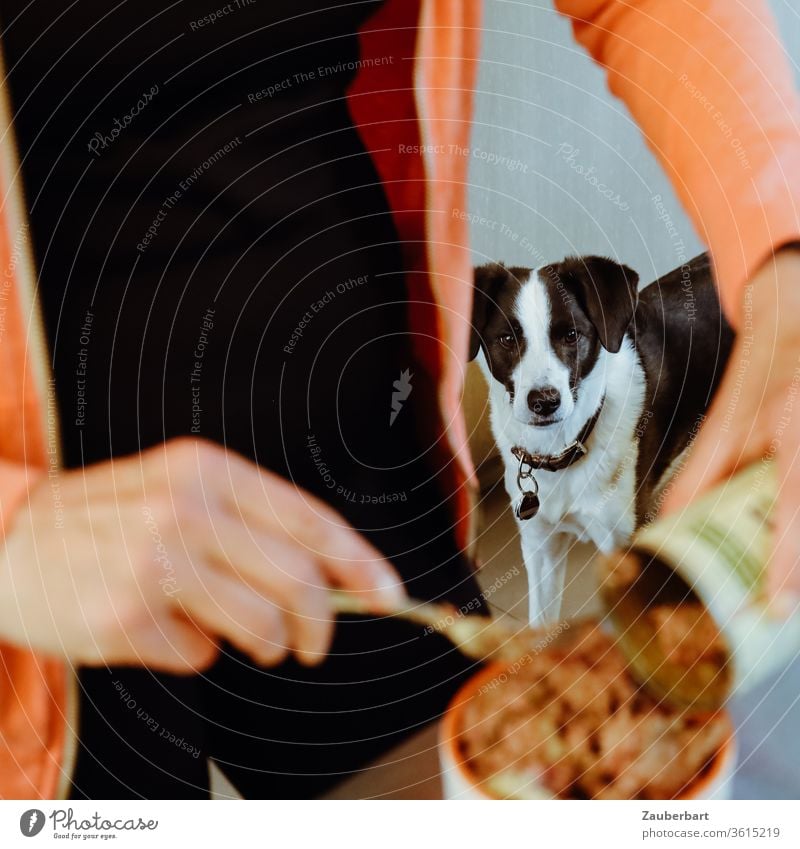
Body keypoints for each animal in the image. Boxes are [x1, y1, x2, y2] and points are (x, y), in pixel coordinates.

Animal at [472, 252, 736, 624]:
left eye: (571, 335)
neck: (563, 450)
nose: (544, 402)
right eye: (507, 339)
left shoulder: (622, 550)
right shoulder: (541, 547)